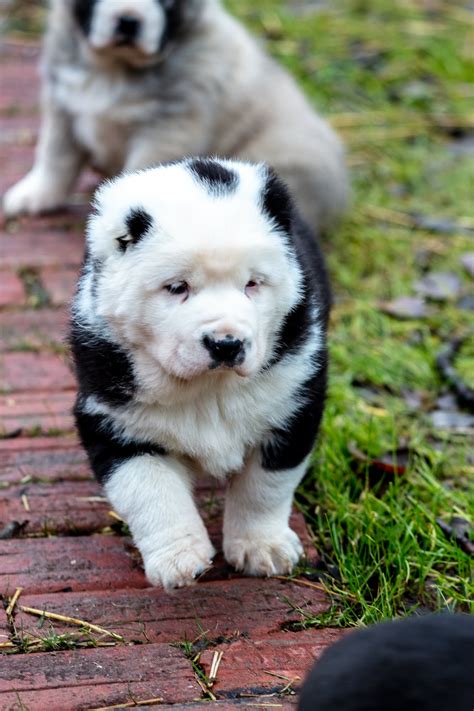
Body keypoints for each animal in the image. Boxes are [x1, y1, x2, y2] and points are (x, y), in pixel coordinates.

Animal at [1, 0, 346, 235]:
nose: (128, 21)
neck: (114, 68)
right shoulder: (62, 106)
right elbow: (55, 158)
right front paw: (35, 195)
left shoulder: (167, 129)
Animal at [71, 160, 330, 588]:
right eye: (177, 287)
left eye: (252, 283)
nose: (226, 344)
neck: (209, 388)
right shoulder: (113, 419)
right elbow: (150, 491)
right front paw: (178, 560)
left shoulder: (293, 401)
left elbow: (265, 486)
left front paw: (262, 547)